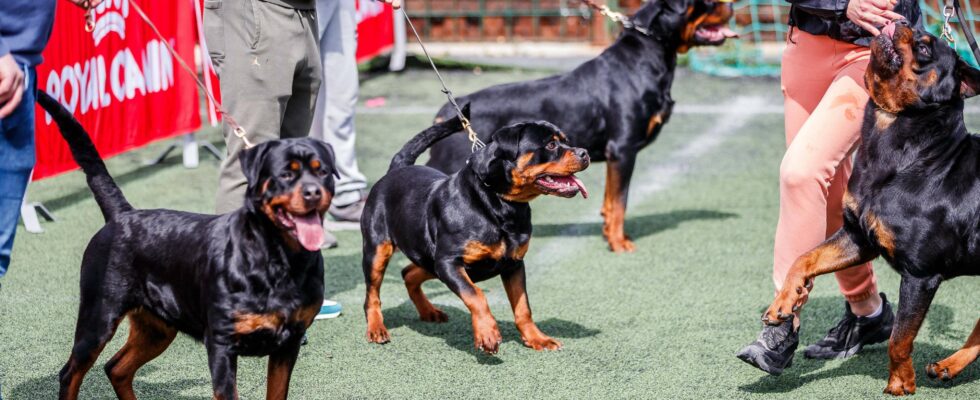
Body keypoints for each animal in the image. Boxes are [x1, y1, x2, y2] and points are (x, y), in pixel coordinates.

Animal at [38, 91, 334, 400]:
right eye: (286, 174)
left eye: (323, 171)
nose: (313, 192)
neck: (279, 258)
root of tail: (122, 213)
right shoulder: (221, 344)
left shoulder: (288, 344)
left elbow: (277, 392)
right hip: (98, 315)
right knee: (70, 373)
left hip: (157, 327)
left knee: (116, 368)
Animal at [360, 105, 588, 354]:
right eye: (551, 145)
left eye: (565, 141)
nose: (585, 153)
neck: (499, 203)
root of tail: (397, 168)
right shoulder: (449, 262)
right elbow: (475, 295)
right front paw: (488, 334)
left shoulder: (514, 264)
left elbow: (523, 307)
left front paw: (537, 338)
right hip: (379, 251)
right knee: (372, 294)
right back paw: (376, 329)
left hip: (430, 260)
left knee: (408, 273)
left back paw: (429, 311)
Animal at [424, 0, 732, 252]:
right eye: (706, 2)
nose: (731, 4)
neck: (645, 60)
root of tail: (446, 113)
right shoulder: (623, 149)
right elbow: (620, 202)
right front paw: (619, 243)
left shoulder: (614, 156)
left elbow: (610, 201)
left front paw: (610, 234)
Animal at [760, 20, 980, 396]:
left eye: (924, 47)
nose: (902, 21)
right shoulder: (858, 237)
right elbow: (804, 258)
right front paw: (784, 303)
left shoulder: (921, 274)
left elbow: (899, 338)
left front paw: (901, 382)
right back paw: (948, 366)